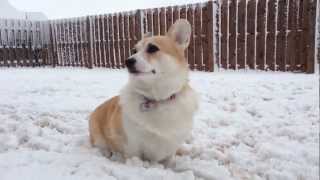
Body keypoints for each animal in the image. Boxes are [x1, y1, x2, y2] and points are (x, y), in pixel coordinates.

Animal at [89, 19, 198, 162]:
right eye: (134, 50)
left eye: (152, 48)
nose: (127, 61)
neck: (158, 99)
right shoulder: (132, 147)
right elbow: (135, 158)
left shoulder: (171, 146)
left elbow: (170, 159)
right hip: (98, 137)